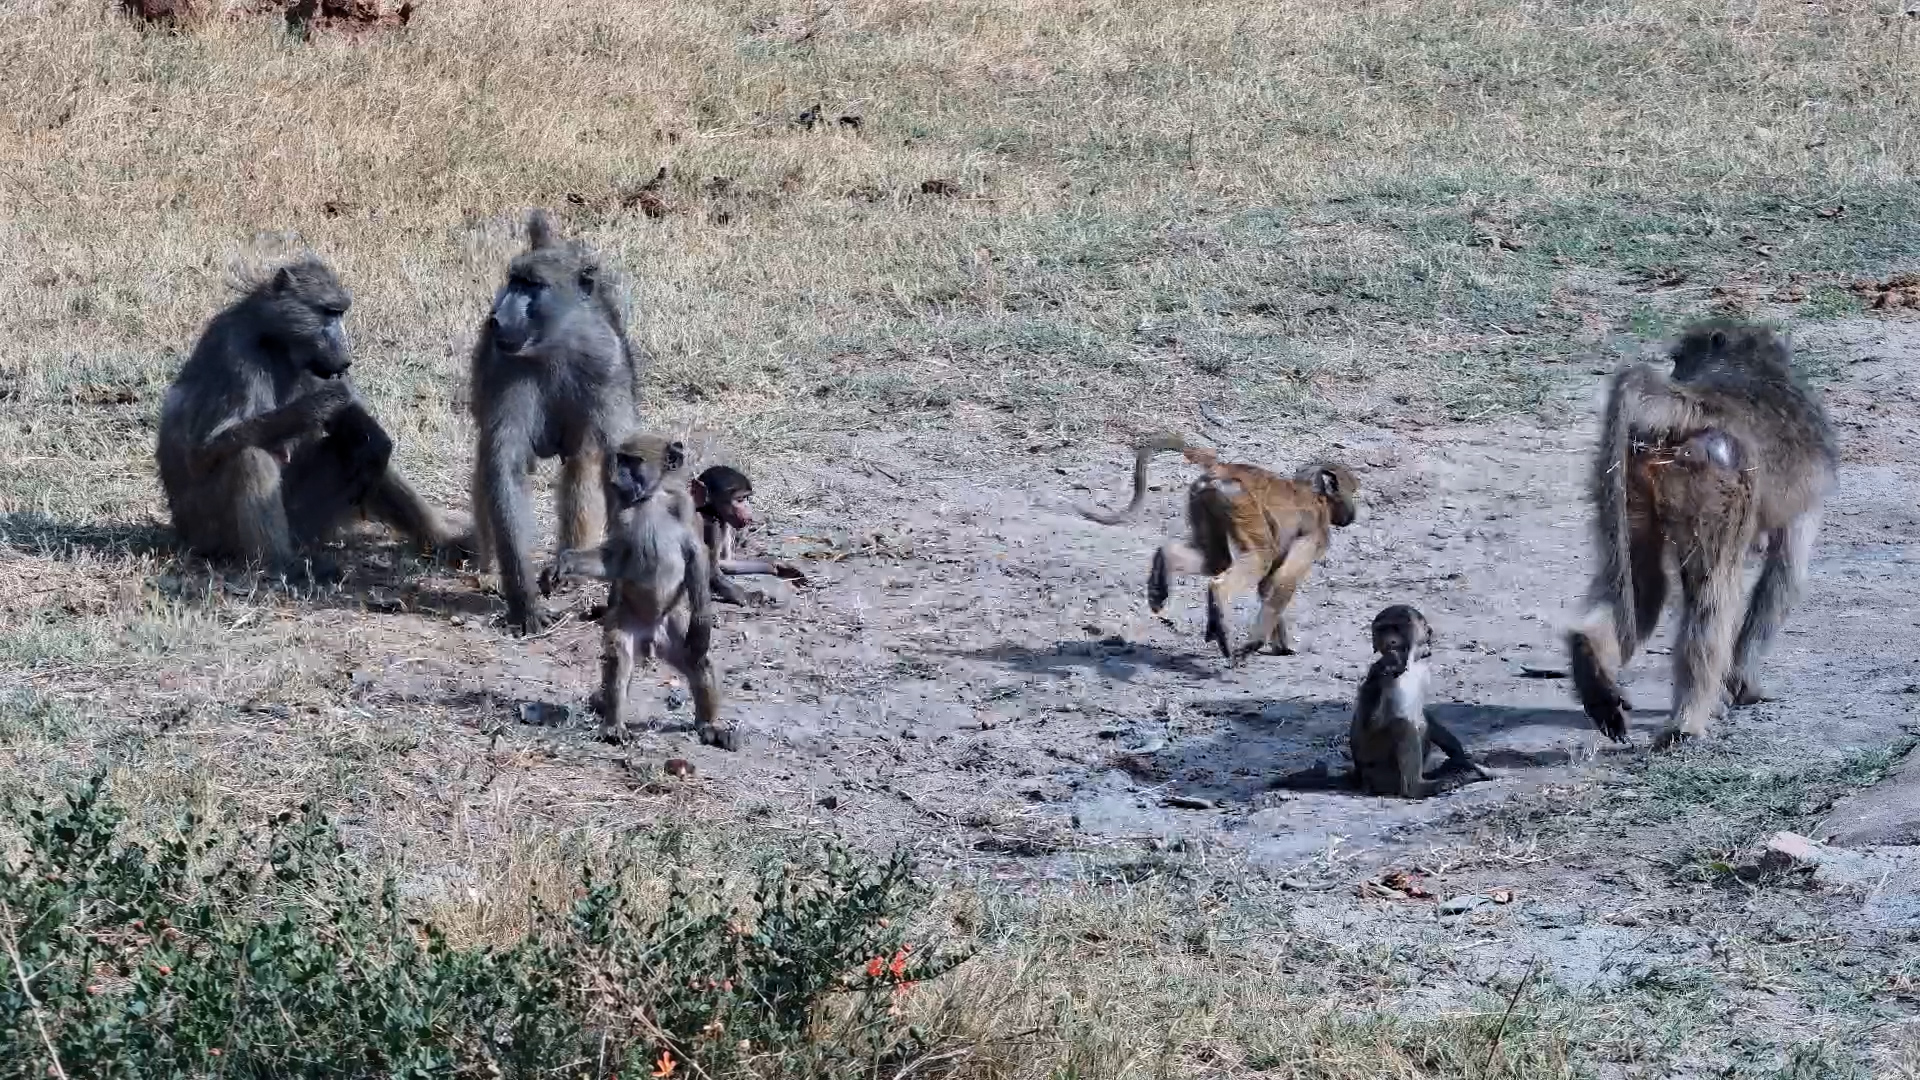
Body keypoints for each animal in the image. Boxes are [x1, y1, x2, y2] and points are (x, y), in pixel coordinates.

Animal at [156, 256, 461, 581]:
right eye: (328, 312)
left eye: (341, 313)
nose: (345, 360)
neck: (274, 339)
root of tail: (184, 534)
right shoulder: (234, 354)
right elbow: (204, 450)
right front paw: (330, 398)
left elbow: (364, 436)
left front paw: (365, 426)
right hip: (212, 533)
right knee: (249, 457)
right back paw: (282, 565)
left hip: (305, 523)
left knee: (357, 452)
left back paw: (446, 540)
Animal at [470, 209, 647, 634]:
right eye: (513, 280)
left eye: (533, 286)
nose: (496, 319)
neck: (558, 343)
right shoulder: (506, 373)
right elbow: (505, 467)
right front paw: (525, 602)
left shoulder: (605, 367)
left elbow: (617, 469)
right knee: (487, 468)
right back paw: (489, 570)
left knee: (582, 467)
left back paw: (573, 565)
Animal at [539, 432, 736, 751]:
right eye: (621, 460)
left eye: (633, 462)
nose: (615, 479)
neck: (651, 501)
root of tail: (650, 637)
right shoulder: (622, 514)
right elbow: (615, 559)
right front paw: (563, 563)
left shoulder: (685, 510)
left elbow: (698, 557)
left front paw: (703, 622)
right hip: (627, 623)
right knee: (619, 657)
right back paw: (613, 726)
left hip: (672, 628)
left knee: (698, 661)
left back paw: (709, 725)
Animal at [1077, 433, 1358, 662]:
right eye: (1352, 492)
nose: (1352, 514)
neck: (1317, 496)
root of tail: (1223, 467)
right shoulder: (1318, 534)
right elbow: (1283, 579)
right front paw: (1255, 644)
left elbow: (1268, 585)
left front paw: (1280, 647)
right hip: (1239, 502)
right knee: (1253, 560)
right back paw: (1219, 602)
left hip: (1204, 500)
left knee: (1216, 561)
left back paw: (1164, 571)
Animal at [1566, 320, 1836, 748]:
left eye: (1679, 359)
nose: (1677, 375)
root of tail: (1700, 404)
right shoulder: (1806, 509)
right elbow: (1786, 579)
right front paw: (1746, 687)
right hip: (1717, 479)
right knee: (1712, 595)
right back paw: (1687, 724)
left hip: (1631, 470)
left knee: (1641, 587)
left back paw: (1590, 665)